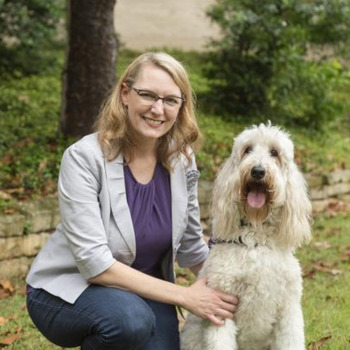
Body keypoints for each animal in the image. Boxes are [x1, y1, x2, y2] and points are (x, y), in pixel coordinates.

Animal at [180, 121, 312, 348]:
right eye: (247, 149)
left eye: (274, 152)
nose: (257, 171)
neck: (255, 237)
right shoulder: (221, 306)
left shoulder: (289, 310)